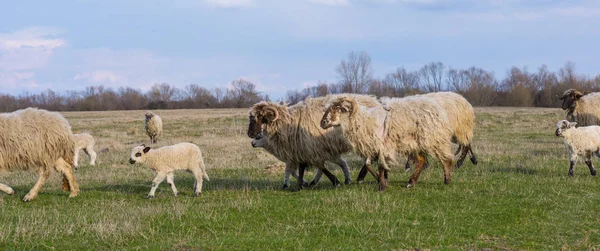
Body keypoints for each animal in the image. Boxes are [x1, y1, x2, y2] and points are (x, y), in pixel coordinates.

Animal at [318, 94, 454, 190]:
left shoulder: (382, 146)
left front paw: (382, 186)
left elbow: (380, 165)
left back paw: (447, 180)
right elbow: (368, 164)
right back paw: (411, 183)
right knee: (422, 160)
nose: (322, 123)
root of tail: (436, 106)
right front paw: (381, 180)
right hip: (415, 143)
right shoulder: (373, 146)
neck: (365, 121)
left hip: (432, 138)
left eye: (337, 108)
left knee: (444, 158)